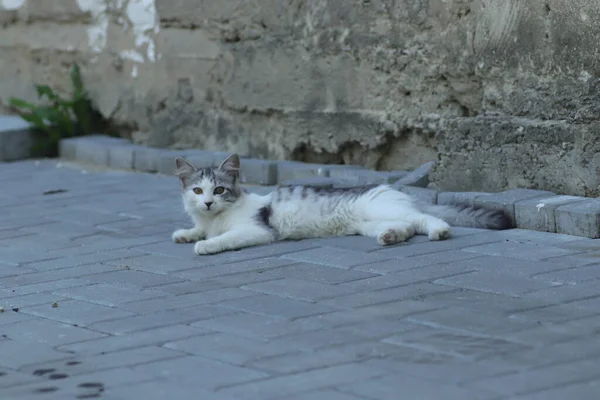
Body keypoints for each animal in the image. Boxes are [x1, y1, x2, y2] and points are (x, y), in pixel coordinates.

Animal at [172, 155, 510, 255]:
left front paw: (206, 244)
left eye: (219, 189)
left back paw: (440, 231)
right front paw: (186, 234)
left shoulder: (257, 229)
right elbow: (195, 230)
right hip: (368, 224)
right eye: (197, 190)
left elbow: (225, 238)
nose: (207, 202)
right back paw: (390, 237)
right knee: (407, 226)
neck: (214, 218)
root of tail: (392, 188)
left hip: (384, 210)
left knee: (424, 219)